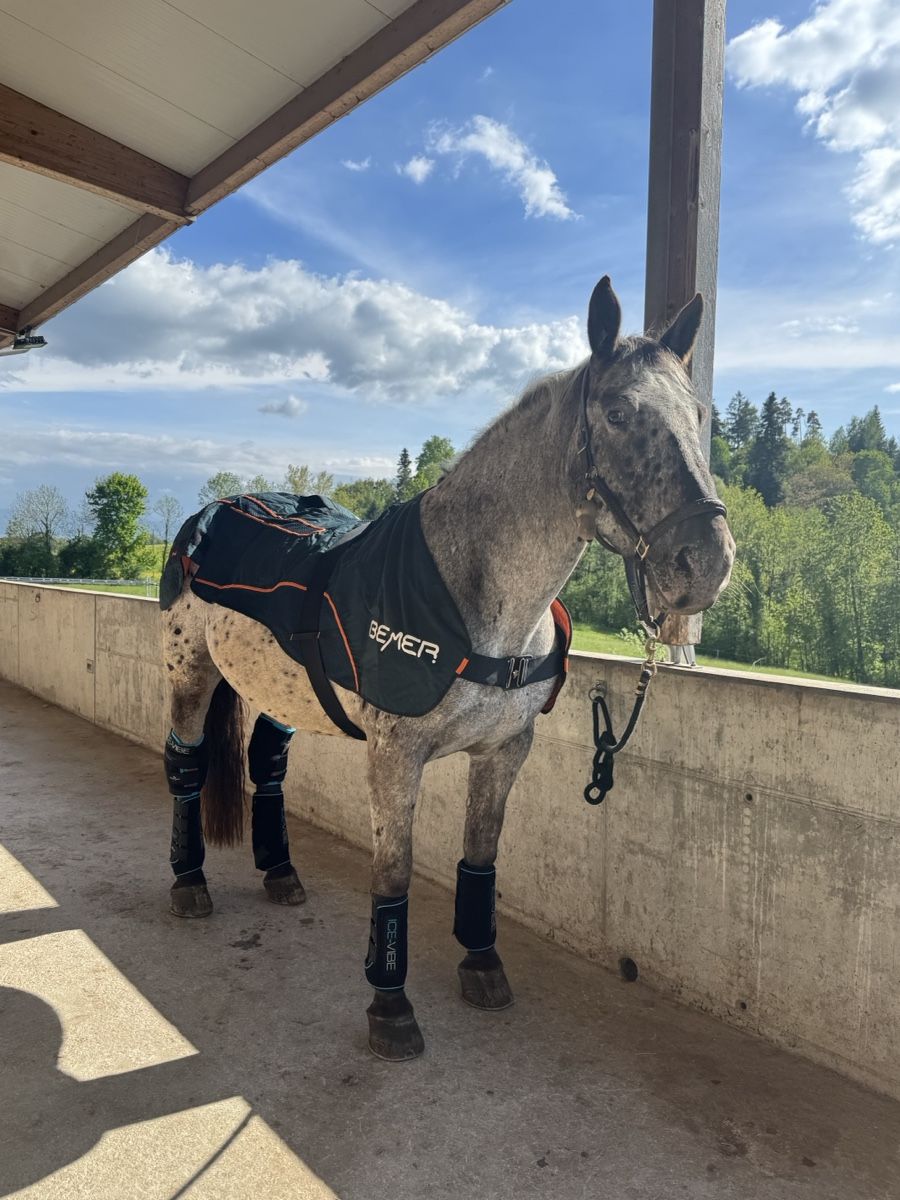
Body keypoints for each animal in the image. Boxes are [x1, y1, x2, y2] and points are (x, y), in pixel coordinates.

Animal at [159, 275, 734, 1061]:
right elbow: (393, 872)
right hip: (189, 675)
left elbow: (480, 857)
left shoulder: (504, 751)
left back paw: (279, 872)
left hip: (281, 692)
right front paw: (390, 1006)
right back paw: (189, 884)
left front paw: (482, 965)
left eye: (698, 414)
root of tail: (209, 514)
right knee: (185, 766)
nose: (706, 562)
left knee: (267, 762)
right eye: (618, 412)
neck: (479, 600)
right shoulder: (395, 757)